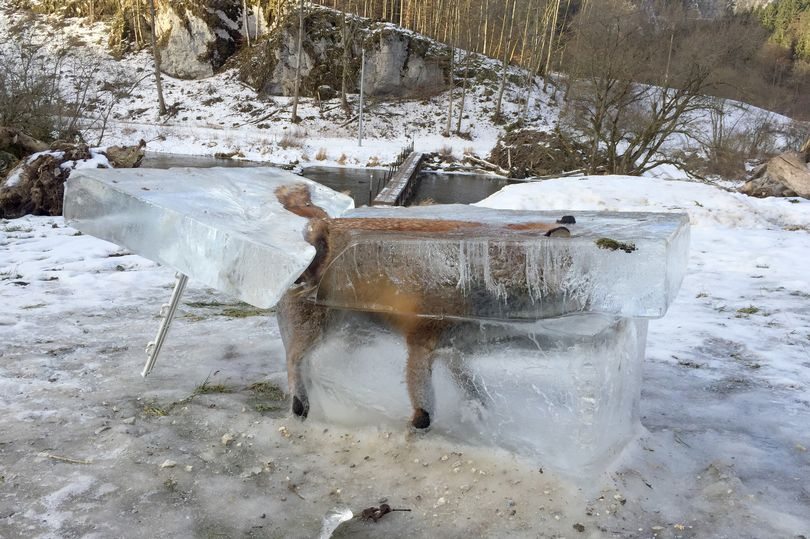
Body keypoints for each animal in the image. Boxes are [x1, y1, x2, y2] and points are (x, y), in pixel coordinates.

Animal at [274, 184, 571, 430]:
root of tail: (325, 223)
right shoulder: (422, 341)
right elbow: (424, 406)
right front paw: (418, 427)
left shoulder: (455, 348)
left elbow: (472, 386)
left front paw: (477, 410)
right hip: (319, 327)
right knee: (295, 359)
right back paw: (300, 403)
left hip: (354, 333)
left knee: (320, 363)